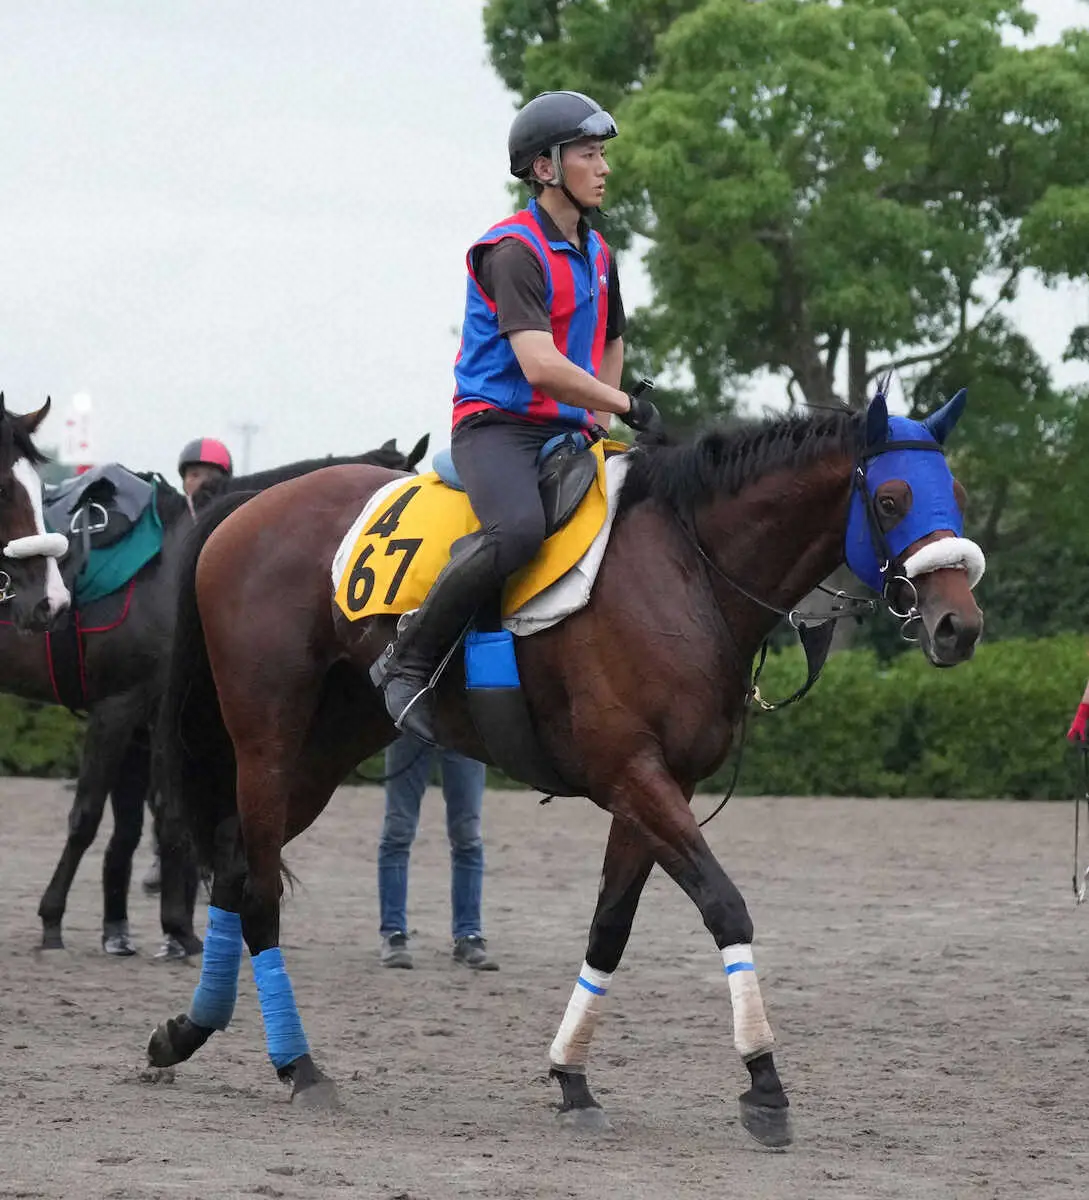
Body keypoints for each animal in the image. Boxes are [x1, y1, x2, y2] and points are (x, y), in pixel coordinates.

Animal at [0, 422, 424, 955]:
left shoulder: (153, 718)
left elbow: (160, 818)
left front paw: (166, 927)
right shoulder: (120, 706)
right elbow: (89, 815)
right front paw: (53, 918)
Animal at [146, 391, 988, 1142]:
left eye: (956, 494)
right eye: (890, 499)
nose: (958, 626)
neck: (686, 570)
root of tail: (244, 509)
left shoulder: (657, 787)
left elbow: (609, 927)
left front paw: (572, 1078)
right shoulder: (633, 774)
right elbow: (724, 906)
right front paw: (764, 1081)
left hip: (327, 750)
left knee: (234, 867)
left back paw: (187, 1031)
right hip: (267, 740)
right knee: (258, 890)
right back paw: (298, 1065)